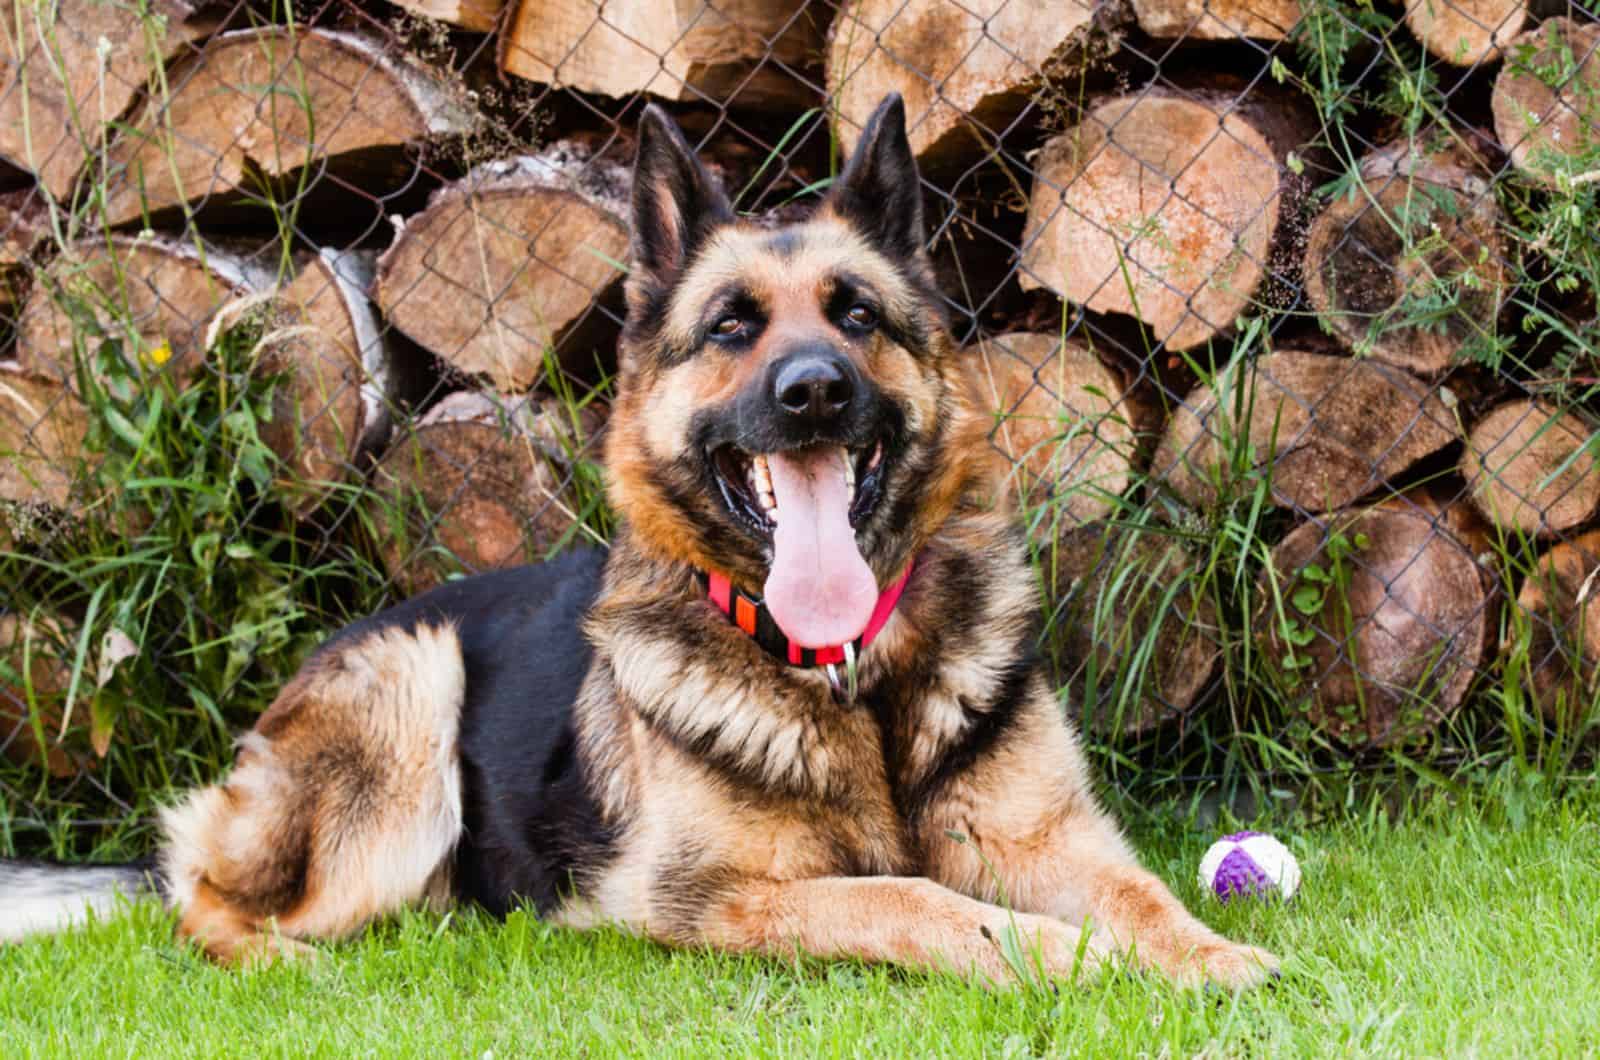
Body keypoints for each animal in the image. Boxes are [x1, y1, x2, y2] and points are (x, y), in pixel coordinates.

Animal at [0, 95, 1273, 992]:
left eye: (857, 314)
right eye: (730, 326)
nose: (814, 392)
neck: (849, 675)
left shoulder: (1049, 838)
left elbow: (1142, 892)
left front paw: (1202, 953)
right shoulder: (720, 897)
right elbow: (920, 902)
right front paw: (1073, 960)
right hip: (413, 692)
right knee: (200, 893)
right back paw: (277, 957)